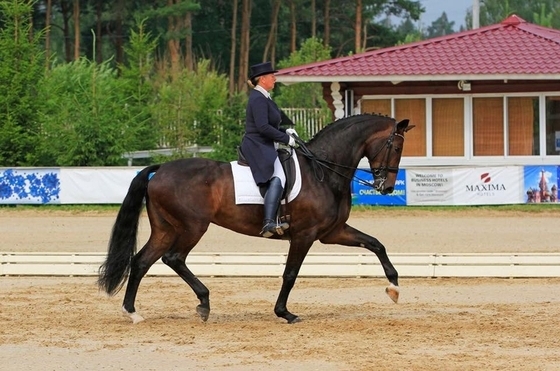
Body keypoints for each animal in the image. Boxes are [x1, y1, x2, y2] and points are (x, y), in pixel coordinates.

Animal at [98, 114, 414, 326]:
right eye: (397, 148)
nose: (387, 188)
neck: (323, 172)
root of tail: (161, 168)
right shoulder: (305, 235)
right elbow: (290, 274)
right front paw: (284, 313)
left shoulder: (332, 232)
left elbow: (375, 244)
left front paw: (394, 288)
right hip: (192, 227)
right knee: (173, 258)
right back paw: (203, 302)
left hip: (165, 228)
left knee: (141, 261)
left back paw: (133, 312)